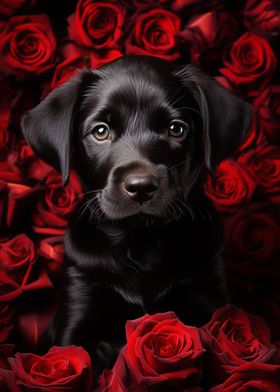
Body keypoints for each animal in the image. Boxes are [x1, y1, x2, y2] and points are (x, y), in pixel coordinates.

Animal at [20, 56, 250, 376]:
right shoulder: (77, 312)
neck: (142, 242)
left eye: (176, 129)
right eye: (100, 131)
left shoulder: (210, 300)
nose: (141, 186)